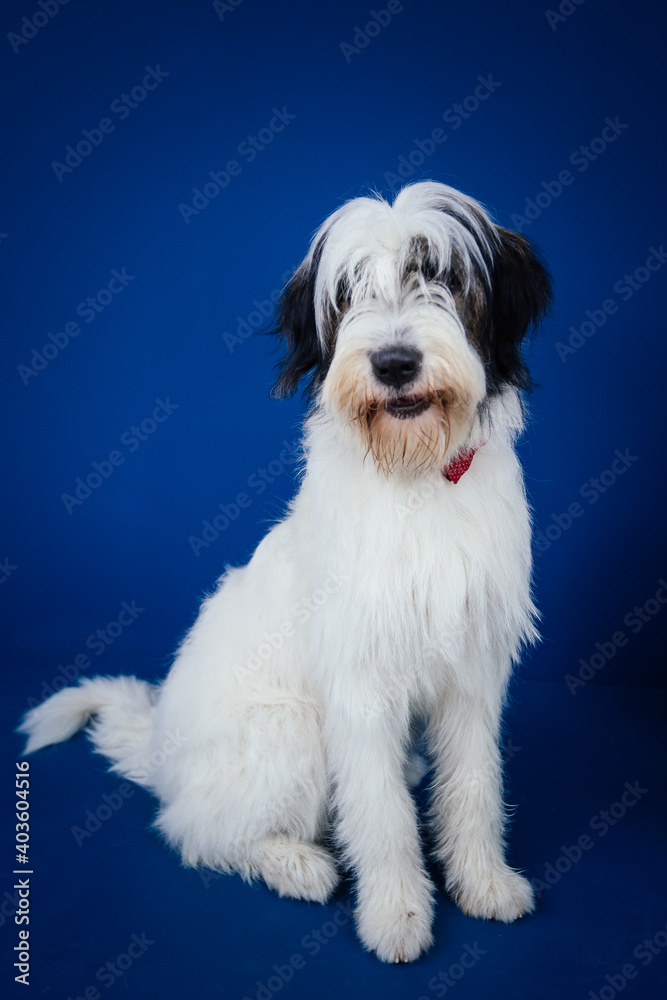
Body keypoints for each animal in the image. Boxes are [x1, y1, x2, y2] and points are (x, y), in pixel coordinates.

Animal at [19, 180, 552, 960]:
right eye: (350, 292)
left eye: (439, 276)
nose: (394, 363)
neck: (415, 480)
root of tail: (162, 754)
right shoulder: (358, 683)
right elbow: (381, 816)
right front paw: (396, 914)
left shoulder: (472, 670)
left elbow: (474, 786)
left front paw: (483, 882)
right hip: (289, 735)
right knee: (196, 831)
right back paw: (295, 864)